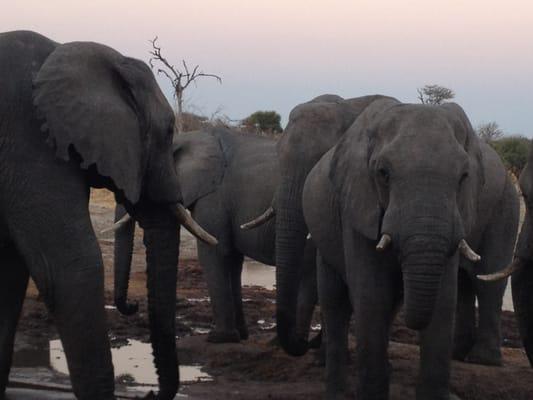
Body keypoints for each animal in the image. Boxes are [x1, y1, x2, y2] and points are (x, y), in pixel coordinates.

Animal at [112, 127, 318, 344]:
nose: (133, 305)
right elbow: (233, 260)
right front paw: (241, 336)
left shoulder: (213, 199)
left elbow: (214, 253)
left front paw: (219, 338)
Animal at [302, 97, 516, 400]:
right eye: (383, 173)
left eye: (463, 176)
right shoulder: (357, 206)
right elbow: (372, 293)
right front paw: (372, 394)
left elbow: (443, 298)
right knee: (335, 301)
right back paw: (337, 391)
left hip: (505, 204)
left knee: (484, 280)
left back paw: (477, 359)